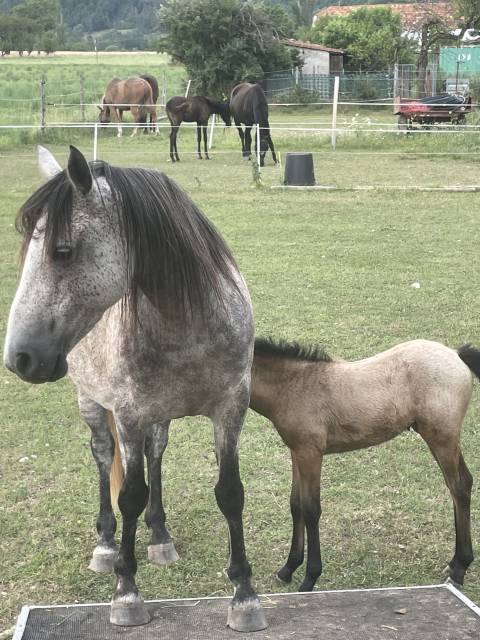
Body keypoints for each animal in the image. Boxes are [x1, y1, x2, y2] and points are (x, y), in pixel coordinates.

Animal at [2, 146, 266, 636]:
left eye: (63, 251)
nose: (19, 358)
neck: (188, 325)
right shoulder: (127, 413)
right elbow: (129, 494)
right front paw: (127, 592)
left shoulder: (231, 408)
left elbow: (229, 493)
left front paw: (244, 595)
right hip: (92, 403)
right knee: (104, 457)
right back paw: (107, 547)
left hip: (159, 415)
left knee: (156, 453)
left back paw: (160, 535)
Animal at [249, 338, 478, 592]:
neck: (294, 386)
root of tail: (455, 353)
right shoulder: (297, 452)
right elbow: (295, 504)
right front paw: (288, 569)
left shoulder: (311, 453)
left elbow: (311, 510)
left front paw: (309, 578)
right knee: (462, 484)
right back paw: (455, 562)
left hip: (442, 438)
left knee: (459, 487)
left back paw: (459, 569)